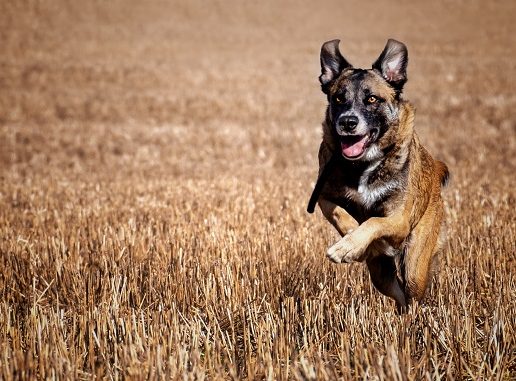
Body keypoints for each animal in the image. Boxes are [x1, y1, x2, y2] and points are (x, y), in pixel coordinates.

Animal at [308, 37, 450, 308]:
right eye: (339, 99)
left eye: (372, 99)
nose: (348, 122)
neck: (363, 165)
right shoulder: (323, 195)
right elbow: (339, 213)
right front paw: (351, 239)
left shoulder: (399, 220)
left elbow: (374, 221)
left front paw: (347, 246)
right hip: (380, 276)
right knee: (398, 295)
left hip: (416, 264)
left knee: (412, 295)